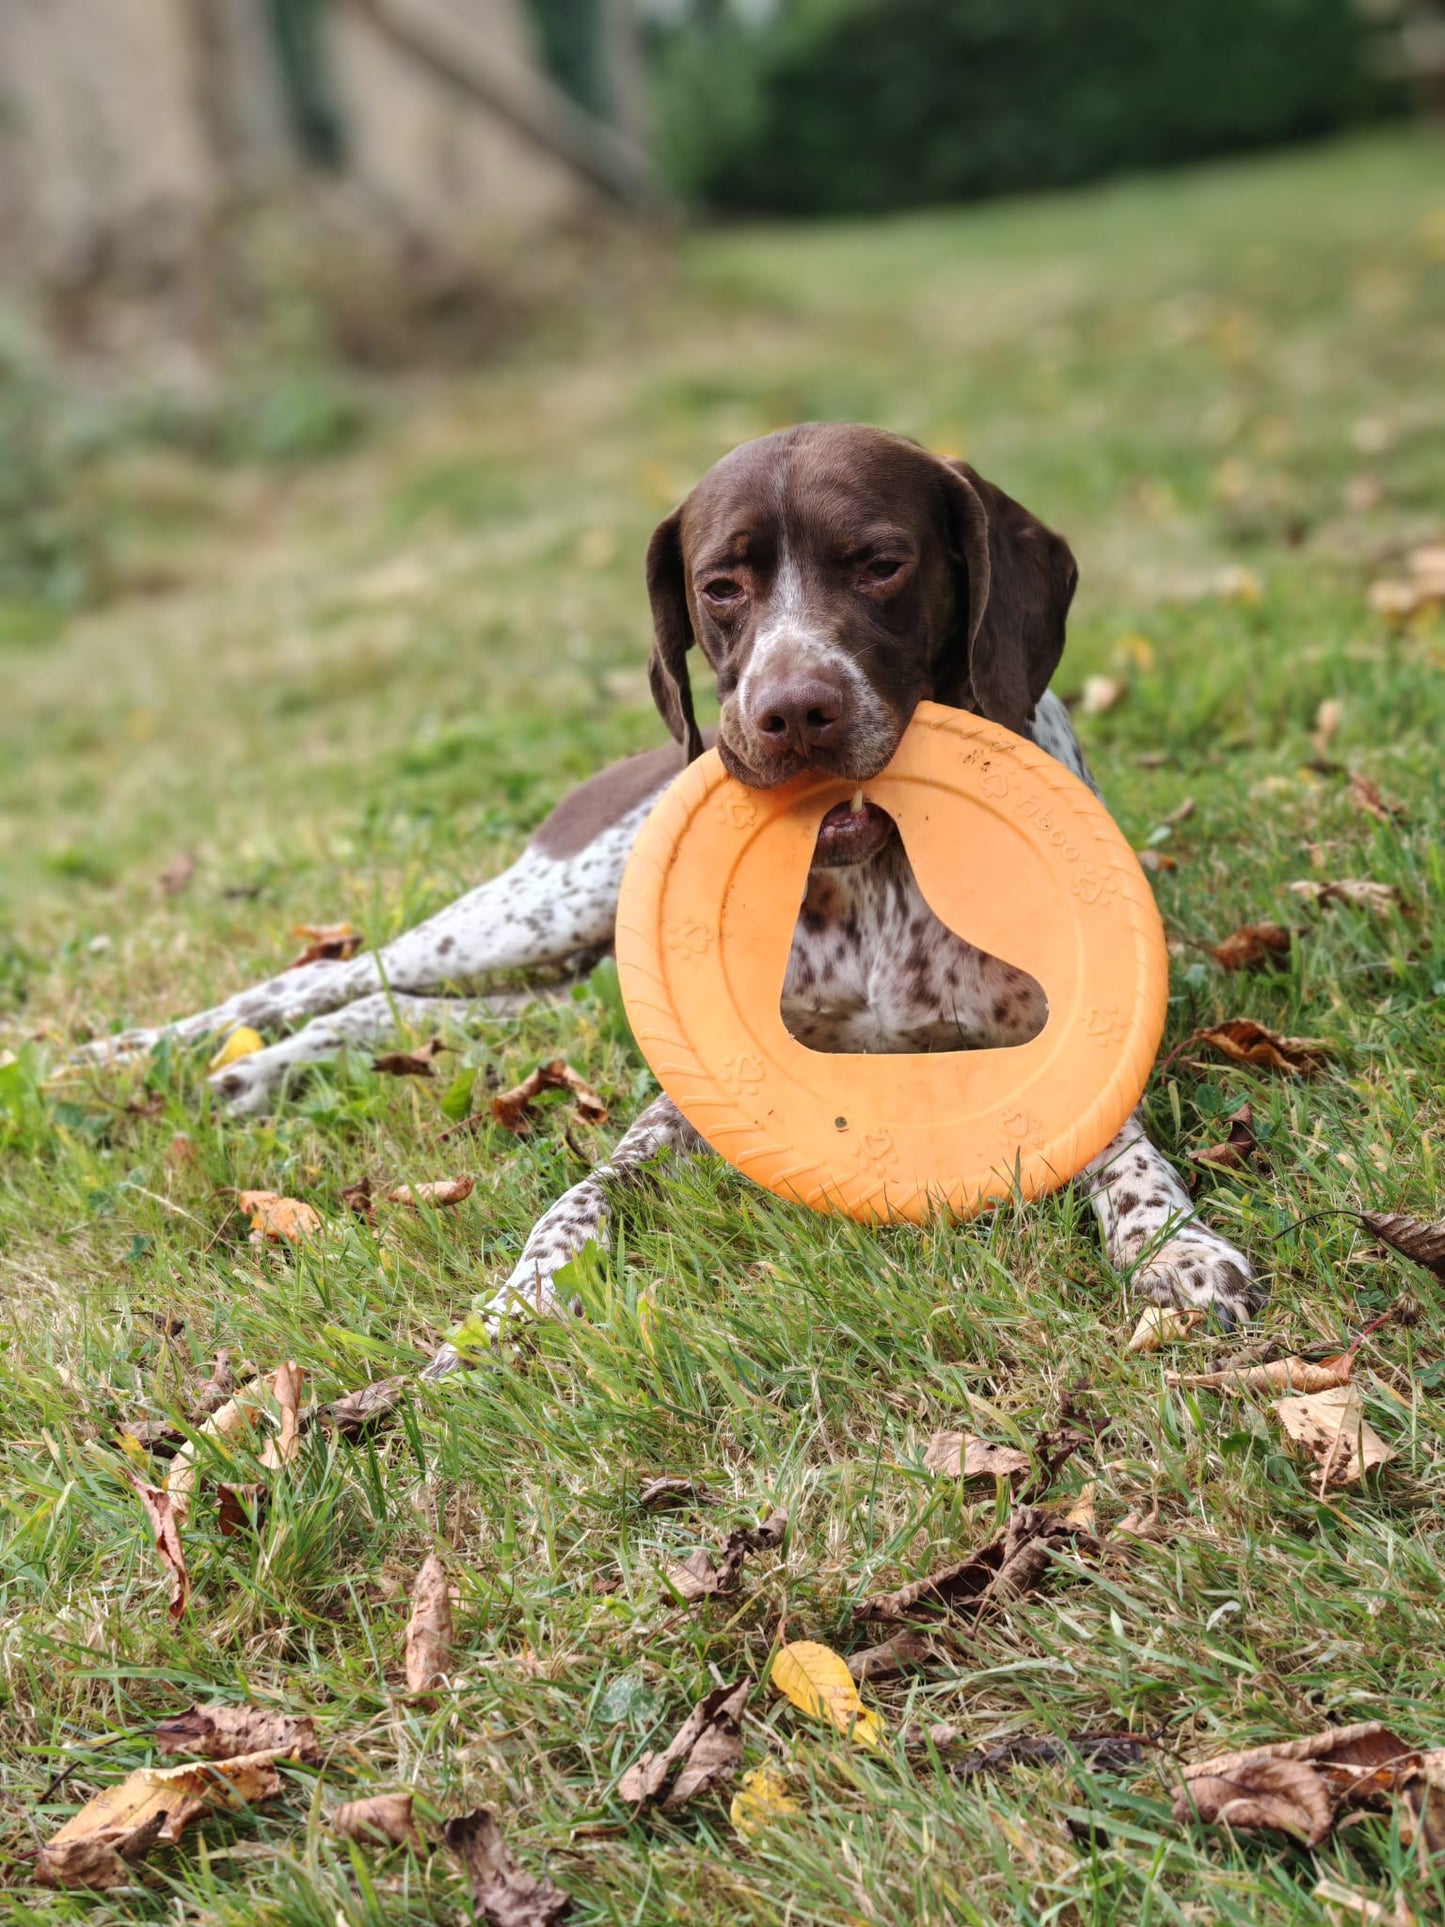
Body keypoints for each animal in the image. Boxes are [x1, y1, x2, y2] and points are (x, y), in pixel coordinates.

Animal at [84, 423, 1263, 1364]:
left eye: (882, 563)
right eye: (719, 585)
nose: (791, 712)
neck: (873, 877)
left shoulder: (1059, 1036)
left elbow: (1123, 1149)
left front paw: (1176, 1246)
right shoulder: (687, 1100)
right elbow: (581, 1193)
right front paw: (516, 1303)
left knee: (391, 1004)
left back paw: (257, 1073)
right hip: (535, 907)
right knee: (323, 976)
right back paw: (138, 1051)